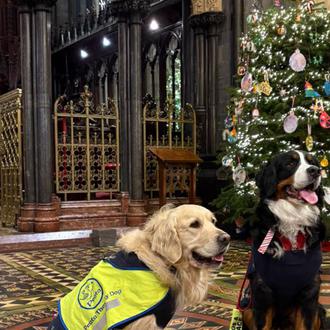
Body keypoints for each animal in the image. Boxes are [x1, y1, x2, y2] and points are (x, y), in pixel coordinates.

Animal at [244, 151, 326, 330]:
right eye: (290, 164)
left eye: (313, 162)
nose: (316, 171)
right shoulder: (262, 292)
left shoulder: (309, 294)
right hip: (247, 310)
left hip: (319, 311)